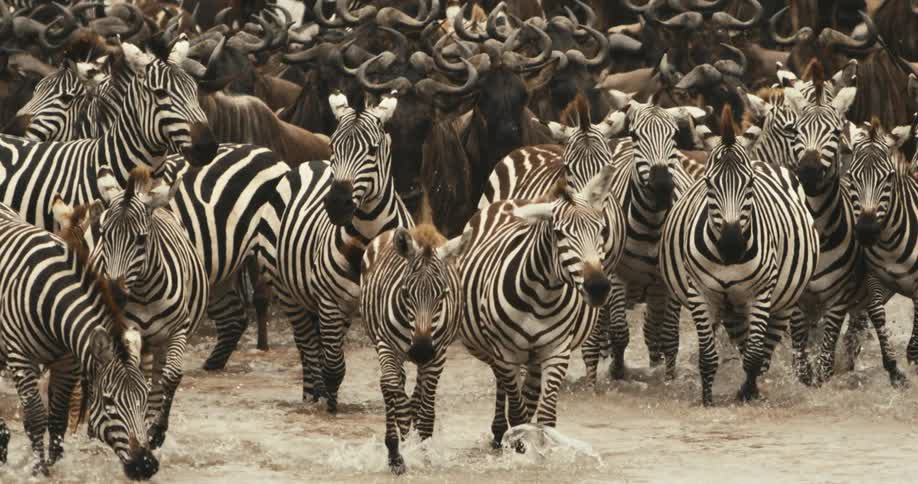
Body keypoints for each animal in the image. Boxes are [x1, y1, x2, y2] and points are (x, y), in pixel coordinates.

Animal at [0, 203, 157, 479]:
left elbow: (58, 419)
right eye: (108, 400)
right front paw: (39, 469)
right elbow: (36, 417)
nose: (146, 465)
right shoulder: (20, 358)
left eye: (146, 397)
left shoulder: (68, 362)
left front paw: (56, 464)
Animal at [272, 91, 413, 413]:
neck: (368, 240)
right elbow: (334, 366)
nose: (337, 203)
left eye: (373, 150)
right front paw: (330, 404)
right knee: (307, 346)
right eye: (334, 145)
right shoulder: (329, 300)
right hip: (286, 289)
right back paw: (312, 394)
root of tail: (313, 163)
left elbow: (396, 370)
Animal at [360, 225, 470, 475]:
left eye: (443, 294)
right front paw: (399, 446)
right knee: (391, 384)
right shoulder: (385, 344)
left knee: (419, 391)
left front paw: (425, 449)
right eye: (406, 293)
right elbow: (393, 389)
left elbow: (426, 404)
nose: (420, 351)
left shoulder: (438, 353)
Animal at [460, 165, 619, 447]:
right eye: (559, 234)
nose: (598, 287)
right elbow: (517, 413)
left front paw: (543, 447)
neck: (541, 298)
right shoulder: (505, 354)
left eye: (601, 230)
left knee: (530, 394)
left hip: (534, 355)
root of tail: (514, 200)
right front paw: (518, 445)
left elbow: (545, 417)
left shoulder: (557, 351)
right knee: (503, 388)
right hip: (494, 351)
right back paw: (499, 433)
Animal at [659, 106, 819, 406]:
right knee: (744, 344)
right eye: (708, 183)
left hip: (782, 302)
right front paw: (708, 400)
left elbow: (755, 356)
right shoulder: (700, 293)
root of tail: (764, 161)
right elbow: (709, 357)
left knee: (763, 351)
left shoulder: (761, 294)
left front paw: (747, 393)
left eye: (750, 184)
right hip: (731, 308)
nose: (732, 245)